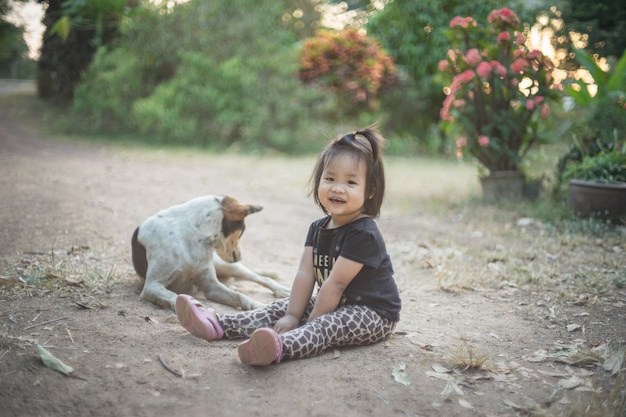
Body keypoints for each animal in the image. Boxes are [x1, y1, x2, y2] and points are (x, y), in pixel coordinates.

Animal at [133, 195, 288, 308]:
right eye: (242, 231)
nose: (239, 257)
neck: (195, 237)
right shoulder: (152, 286)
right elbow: (175, 296)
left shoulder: (211, 286)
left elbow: (241, 296)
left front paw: (258, 306)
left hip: (227, 266)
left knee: (261, 278)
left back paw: (282, 290)